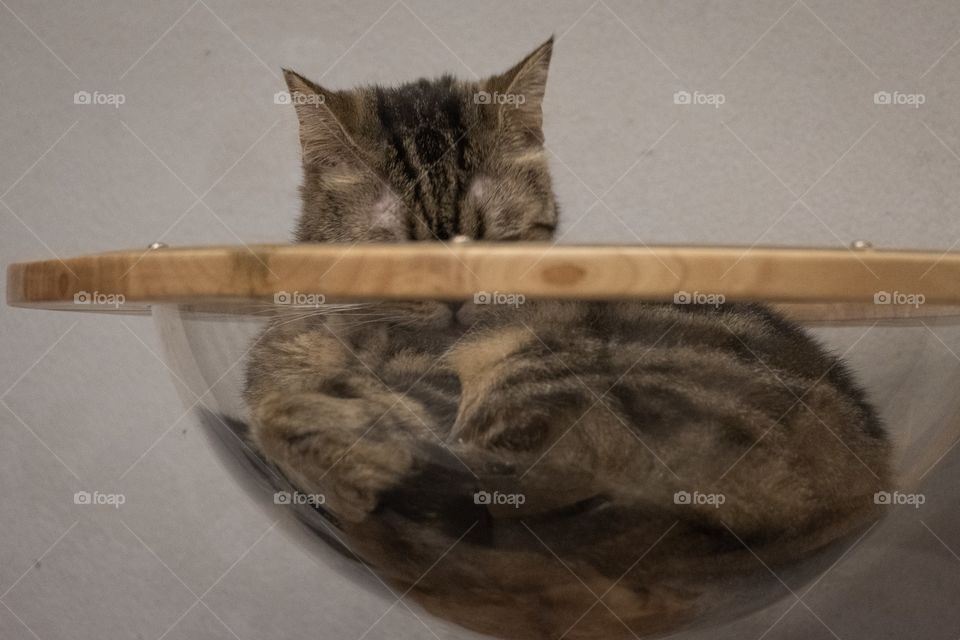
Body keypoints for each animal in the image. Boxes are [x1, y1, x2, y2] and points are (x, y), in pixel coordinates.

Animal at [242, 40, 892, 640]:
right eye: (400, 254)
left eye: (496, 241)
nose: (457, 298)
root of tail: (867, 479)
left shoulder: (433, 403)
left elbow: (309, 416)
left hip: (541, 391)